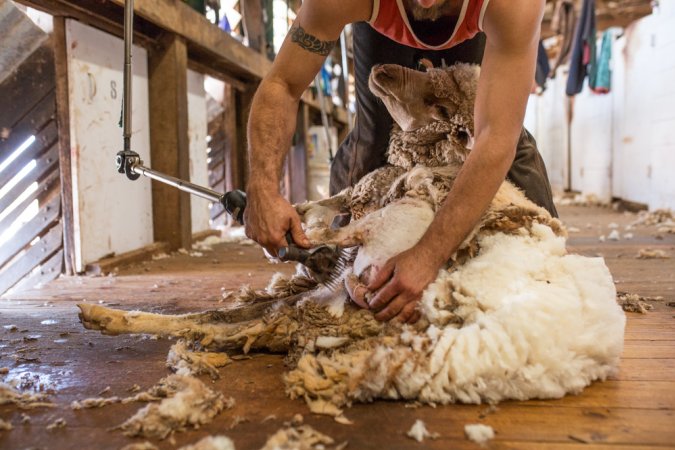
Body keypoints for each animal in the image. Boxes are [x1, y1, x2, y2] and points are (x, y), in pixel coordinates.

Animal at [76, 61, 624, 420]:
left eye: (439, 104)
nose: (384, 69)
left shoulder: (379, 201)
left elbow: (335, 213)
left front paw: (302, 231)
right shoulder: (366, 194)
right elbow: (328, 202)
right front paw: (290, 218)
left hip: (349, 275)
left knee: (225, 320)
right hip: (319, 300)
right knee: (225, 321)